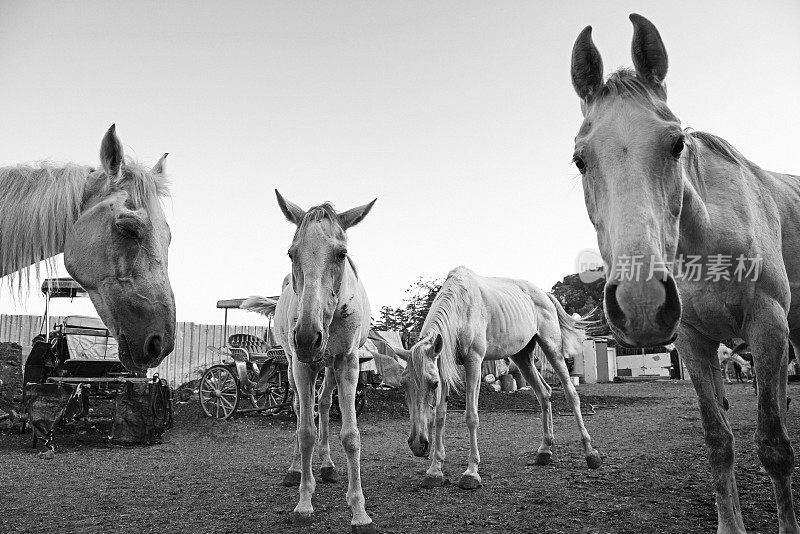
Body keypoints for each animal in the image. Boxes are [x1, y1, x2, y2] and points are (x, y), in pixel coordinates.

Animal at [262, 191, 376, 532]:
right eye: (291, 253)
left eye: (341, 254)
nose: (306, 337)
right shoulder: (302, 365)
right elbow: (305, 432)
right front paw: (303, 502)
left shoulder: (347, 363)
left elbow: (350, 435)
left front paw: (359, 511)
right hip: (293, 364)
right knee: (301, 410)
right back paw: (296, 469)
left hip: (328, 364)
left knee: (324, 405)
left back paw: (326, 465)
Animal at [396, 266, 596, 492]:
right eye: (403, 385)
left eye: (433, 384)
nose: (417, 444)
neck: (462, 308)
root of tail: (545, 295)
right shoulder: (444, 364)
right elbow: (439, 417)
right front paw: (435, 470)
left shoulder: (473, 361)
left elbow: (471, 416)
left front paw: (471, 472)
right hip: (522, 356)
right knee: (544, 393)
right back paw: (545, 450)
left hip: (552, 348)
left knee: (571, 395)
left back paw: (591, 454)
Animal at [568, 13, 800, 534]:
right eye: (580, 159)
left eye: (677, 144)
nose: (641, 304)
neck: (707, 243)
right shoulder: (693, 340)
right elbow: (718, 440)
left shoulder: (768, 324)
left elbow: (774, 446)